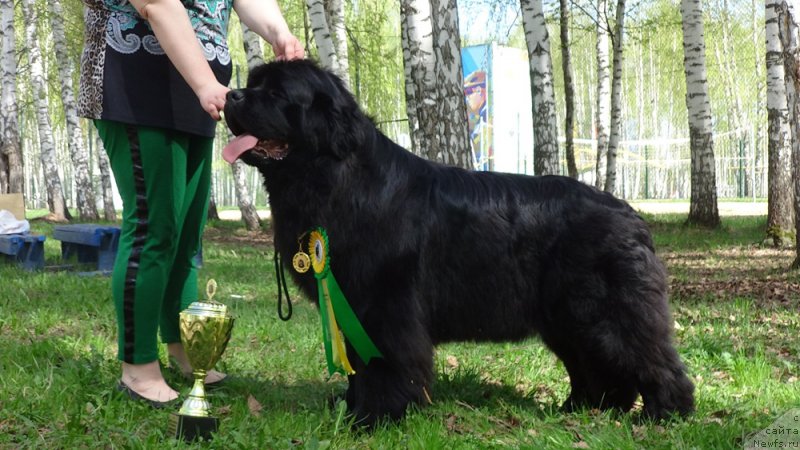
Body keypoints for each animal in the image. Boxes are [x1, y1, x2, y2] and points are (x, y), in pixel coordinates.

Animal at [223, 59, 692, 426]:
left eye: (277, 92)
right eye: (254, 82)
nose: (230, 96)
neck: (334, 179)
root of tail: (631, 214)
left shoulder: (384, 305)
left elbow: (385, 363)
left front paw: (375, 418)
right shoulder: (348, 305)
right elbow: (357, 365)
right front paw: (349, 408)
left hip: (605, 310)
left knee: (649, 357)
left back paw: (665, 414)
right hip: (568, 318)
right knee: (595, 365)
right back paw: (586, 409)